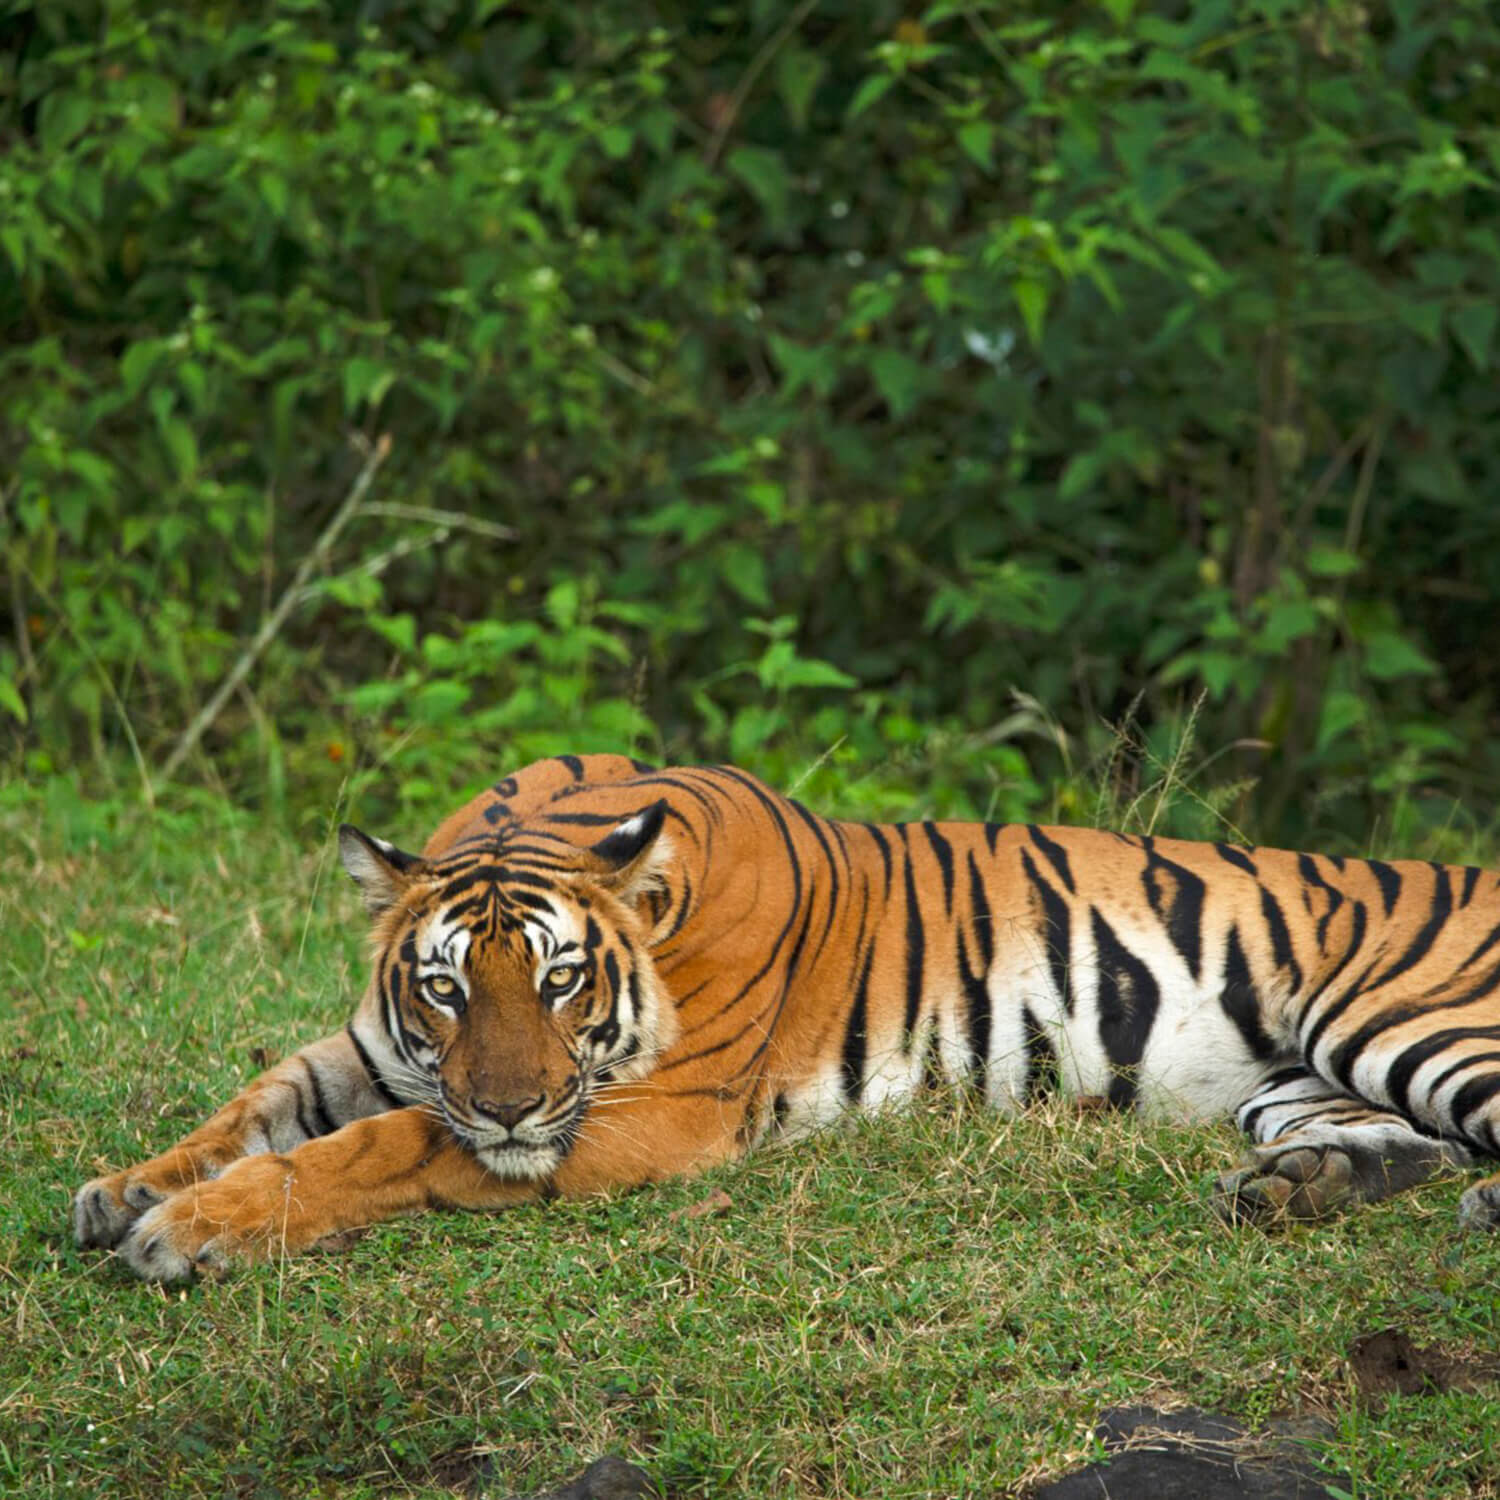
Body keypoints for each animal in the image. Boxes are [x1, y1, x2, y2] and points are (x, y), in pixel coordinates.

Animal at [73, 750, 1500, 1278]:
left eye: (560, 980)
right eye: (444, 988)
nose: (512, 1106)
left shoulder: (646, 1115)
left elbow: (370, 1147)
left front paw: (186, 1232)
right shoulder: (389, 1052)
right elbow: (268, 1099)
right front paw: (124, 1190)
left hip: (1401, 1020)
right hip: (1296, 1077)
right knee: (1405, 1146)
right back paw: (1295, 1191)